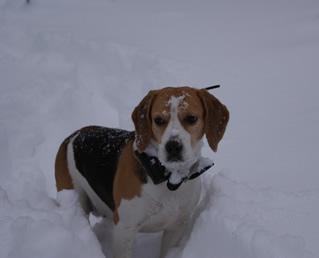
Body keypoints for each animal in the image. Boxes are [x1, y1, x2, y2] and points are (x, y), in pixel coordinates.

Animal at [55, 86, 230, 258]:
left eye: (192, 118)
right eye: (158, 120)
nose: (173, 146)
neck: (167, 177)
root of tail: (72, 136)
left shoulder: (176, 227)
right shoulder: (125, 230)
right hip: (76, 197)